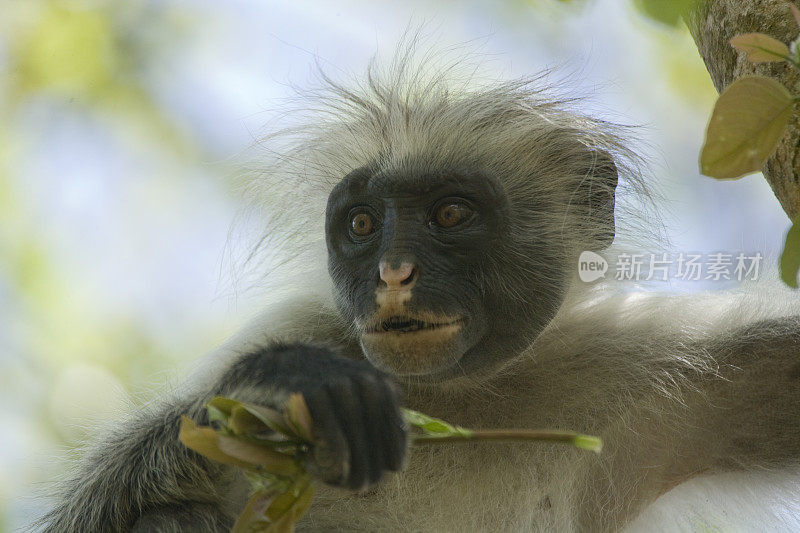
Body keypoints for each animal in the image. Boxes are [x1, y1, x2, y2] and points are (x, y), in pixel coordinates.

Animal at [39, 46, 800, 532]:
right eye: (362, 223)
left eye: (451, 214)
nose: (393, 272)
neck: (458, 395)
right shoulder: (306, 324)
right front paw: (278, 386)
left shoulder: (652, 367)